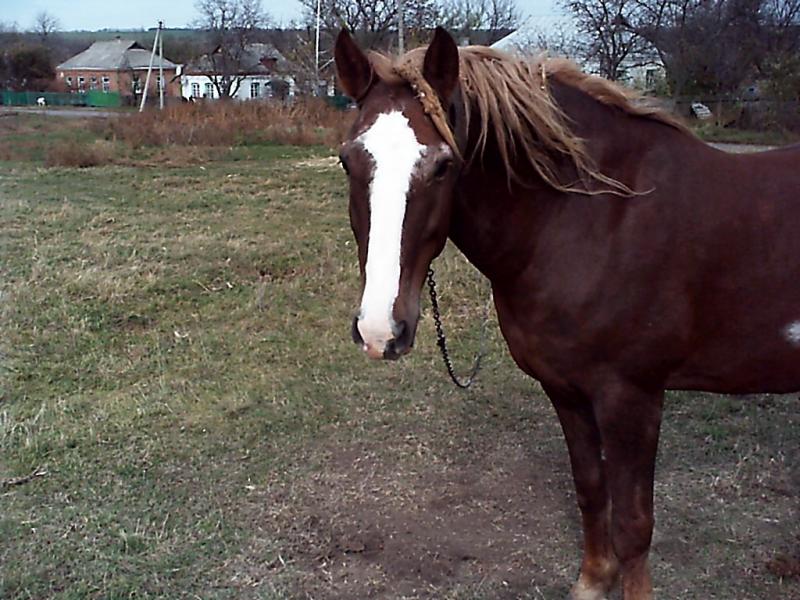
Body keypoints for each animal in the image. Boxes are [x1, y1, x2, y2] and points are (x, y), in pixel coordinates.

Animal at [332, 25, 800, 596]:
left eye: (444, 166)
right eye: (348, 161)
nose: (380, 330)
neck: (596, 218)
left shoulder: (632, 397)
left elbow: (634, 525)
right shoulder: (567, 390)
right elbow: (590, 489)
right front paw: (593, 580)